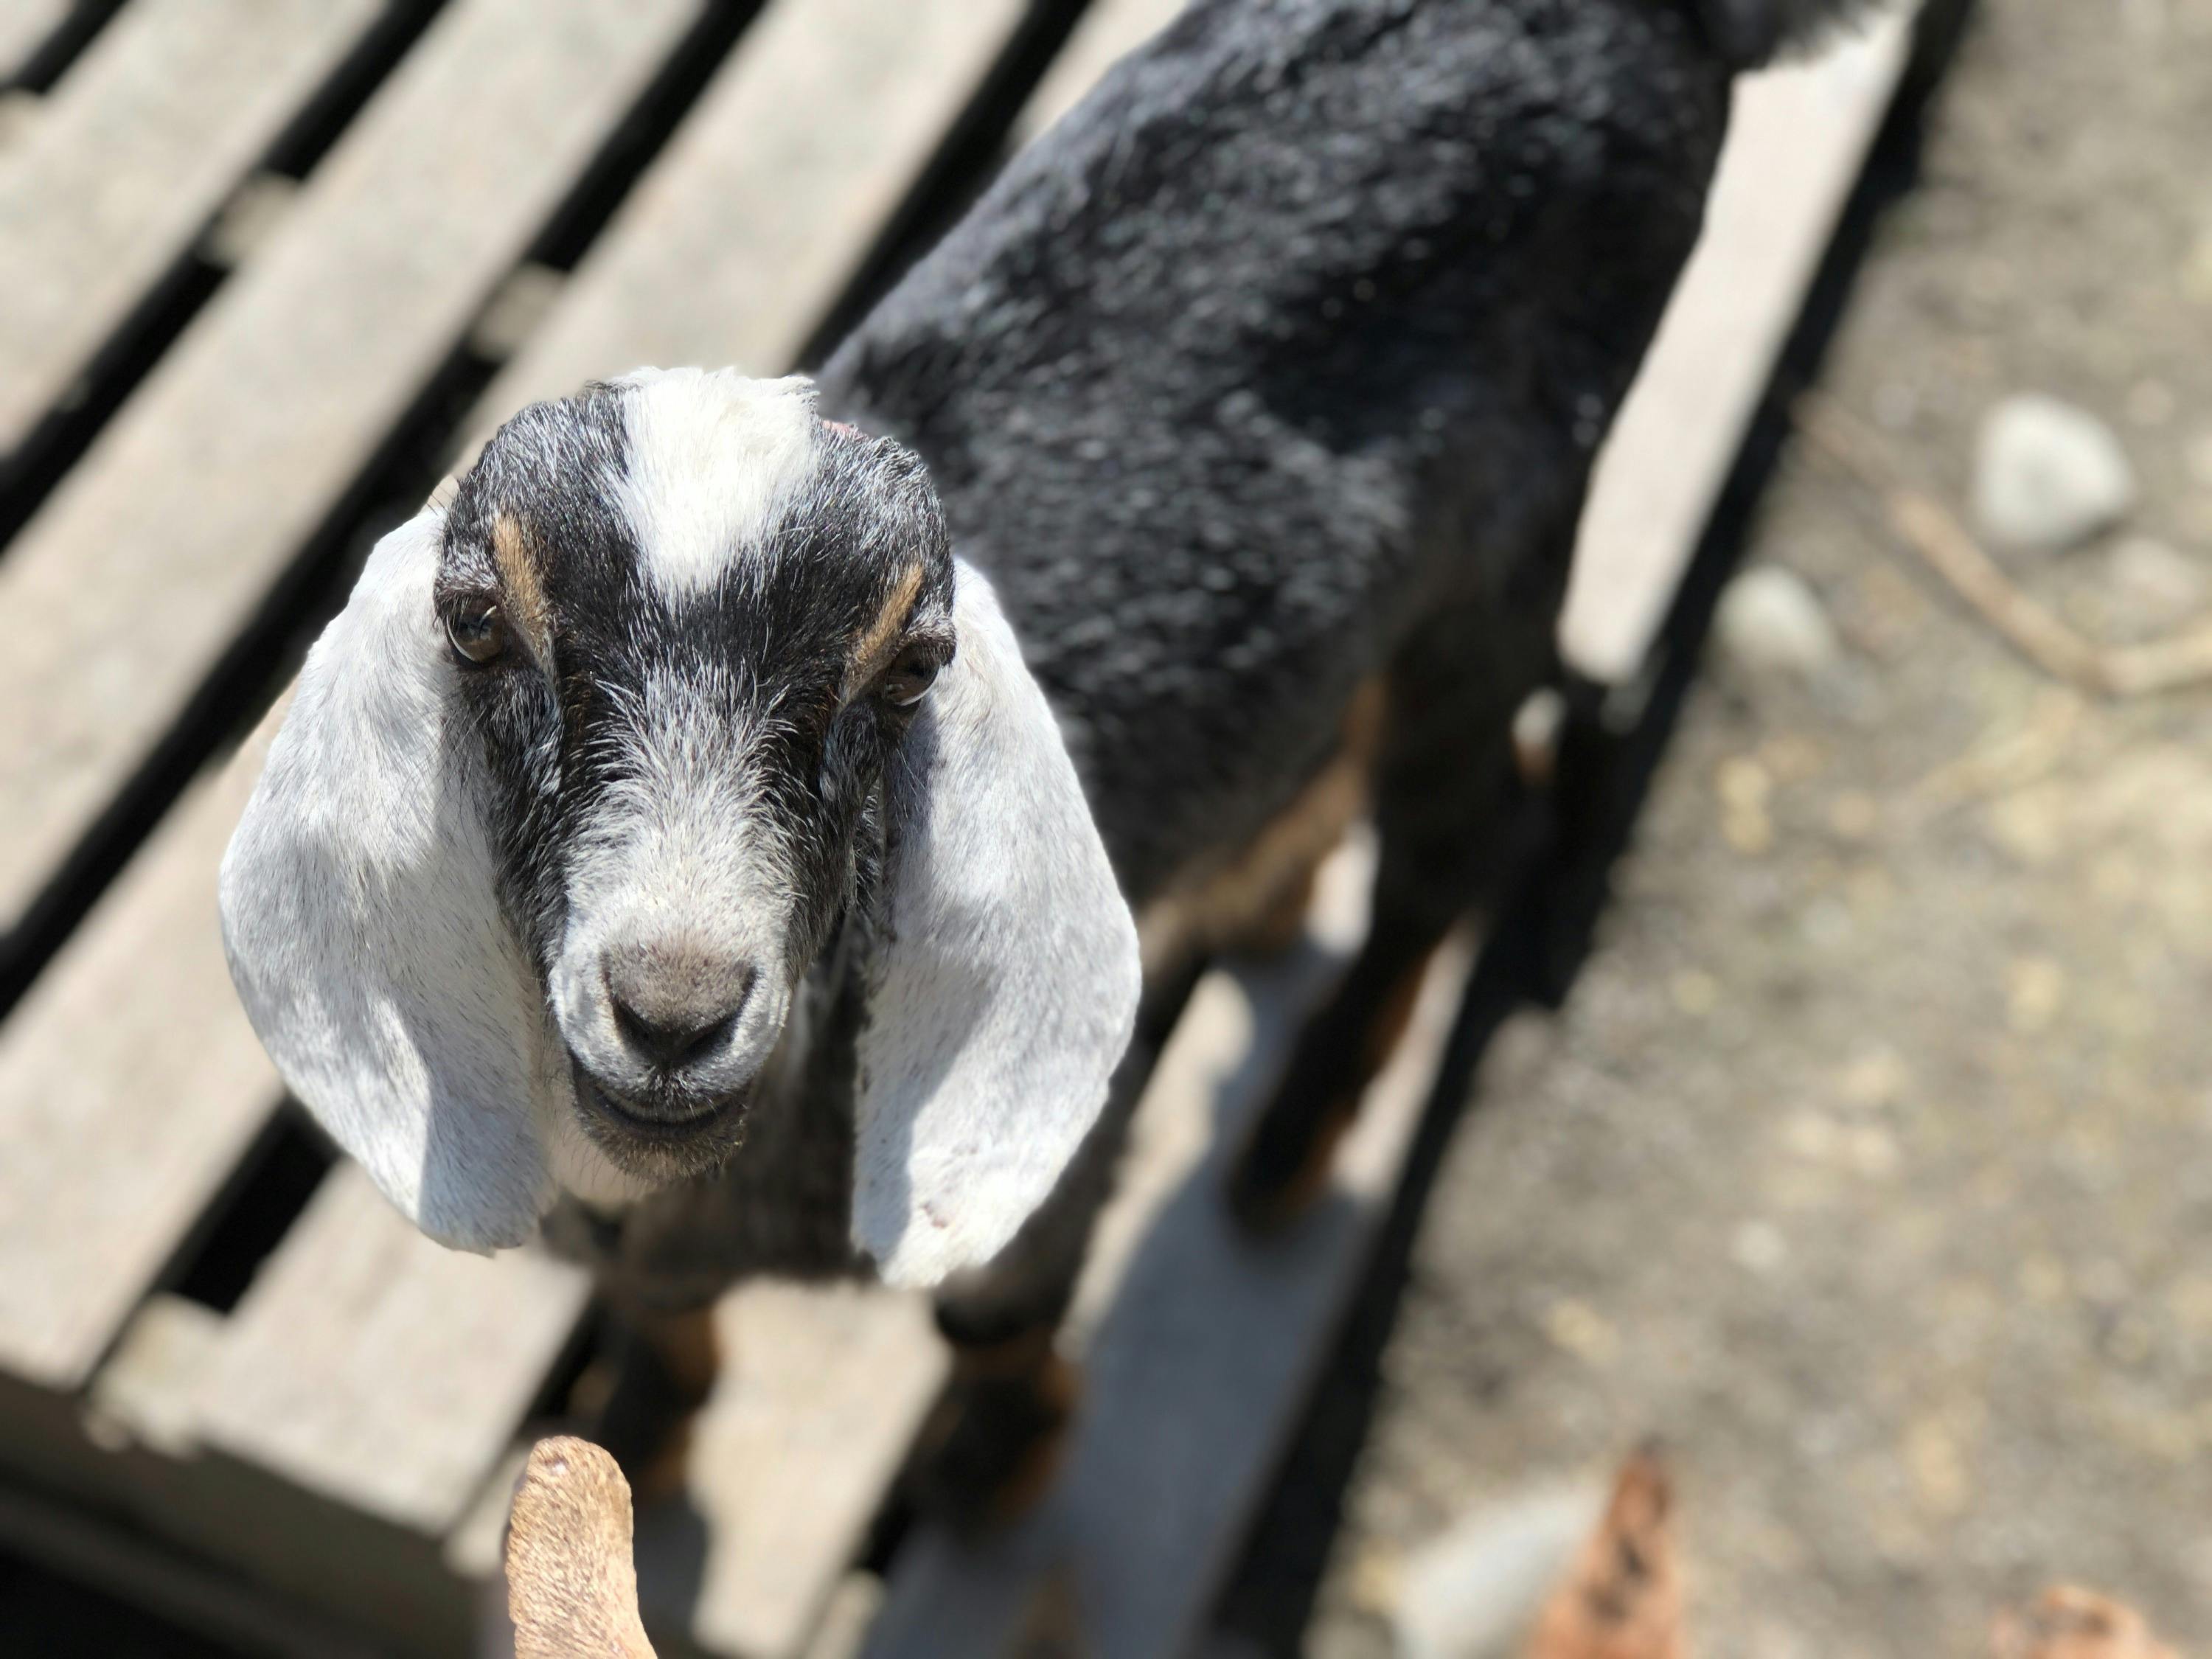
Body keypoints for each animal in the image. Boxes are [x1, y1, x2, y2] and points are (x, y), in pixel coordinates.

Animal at [221, 0, 1876, 1505]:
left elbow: (994, 1309)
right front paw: (638, 1432)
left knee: (1460, 835)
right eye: (477, 626)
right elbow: (661, 1312)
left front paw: (1001, 1459)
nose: (673, 1007)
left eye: (915, 664)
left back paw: (1296, 1131)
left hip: (1503, 553)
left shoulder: (1054, 1153)